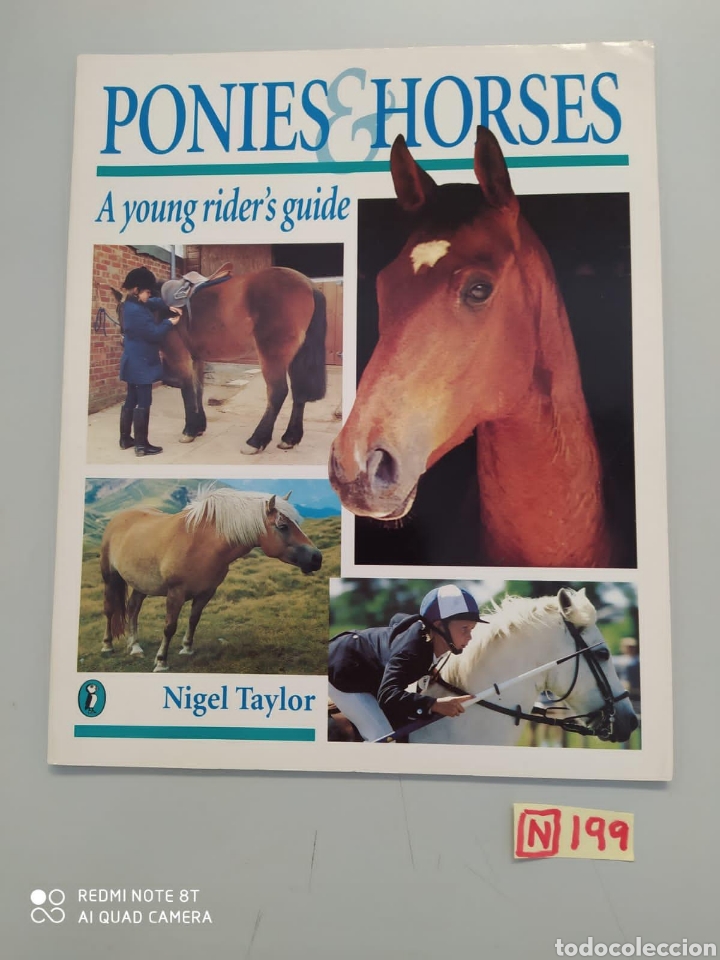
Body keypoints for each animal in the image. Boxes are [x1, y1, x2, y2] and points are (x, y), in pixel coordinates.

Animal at [99, 487, 322, 672]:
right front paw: (161, 661)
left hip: (141, 583)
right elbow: (169, 627)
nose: (316, 558)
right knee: (110, 611)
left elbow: (194, 619)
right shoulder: (175, 593)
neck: (202, 543)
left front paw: (187, 649)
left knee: (133, 608)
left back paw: (135, 646)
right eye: (283, 526)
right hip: (110, 578)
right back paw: (107, 645)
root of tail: (120, 517)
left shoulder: (206, 592)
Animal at [112, 265, 327, 454]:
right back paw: (289, 438)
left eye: (122, 310)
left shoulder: (180, 357)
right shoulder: (197, 358)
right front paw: (199, 426)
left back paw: (255, 441)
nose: (123, 339)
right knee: (299, 394)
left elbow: (187, 391)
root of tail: (308, 284)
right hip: (296, 358)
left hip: (272, 355)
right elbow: (198, 390)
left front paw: (189, 431)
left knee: (277, 392)